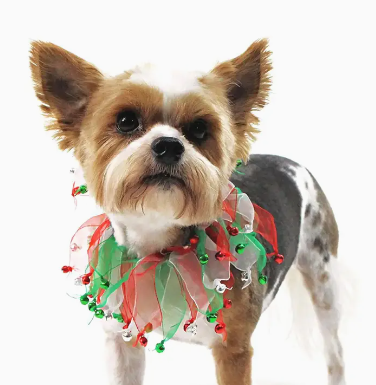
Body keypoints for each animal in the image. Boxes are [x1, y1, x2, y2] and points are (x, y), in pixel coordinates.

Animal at [30, 39, 346, 384]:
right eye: (126, 121)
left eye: (199, 129)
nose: (169, 145)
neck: (160, 244)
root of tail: (291, 162)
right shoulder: (121, 340)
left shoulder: (233, 349)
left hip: (323, 278)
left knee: (335, 351)